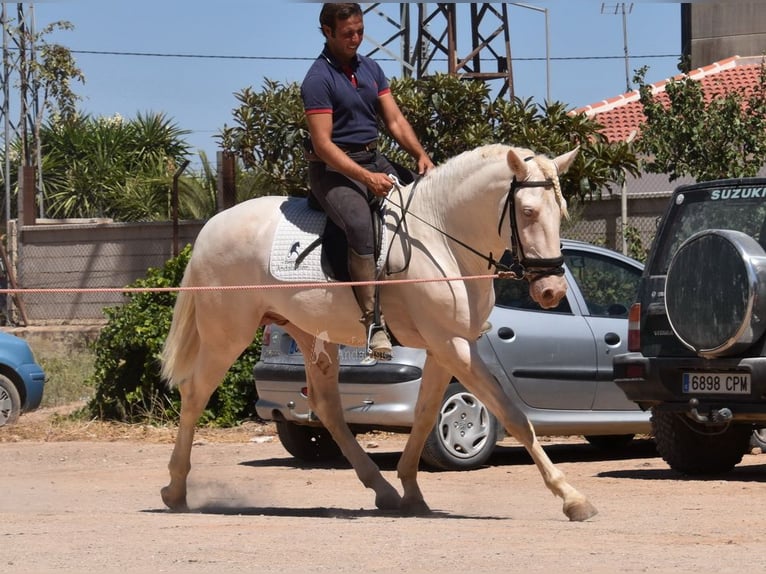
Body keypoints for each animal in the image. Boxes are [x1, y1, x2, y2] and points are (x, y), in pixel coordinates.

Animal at [159, 143, 596, 520]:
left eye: (560, 211)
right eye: (528, 211)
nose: (552, 291)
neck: (442, 236)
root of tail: (213, 226)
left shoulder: (444, 348)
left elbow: (425, 415)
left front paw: (411, 492)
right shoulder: (453, 344)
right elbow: (513, 415)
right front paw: (571, 498)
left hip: (309, 334)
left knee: (327, 407)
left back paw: (382, 490)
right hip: (226, 335)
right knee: (194, 393)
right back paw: (176, 490)